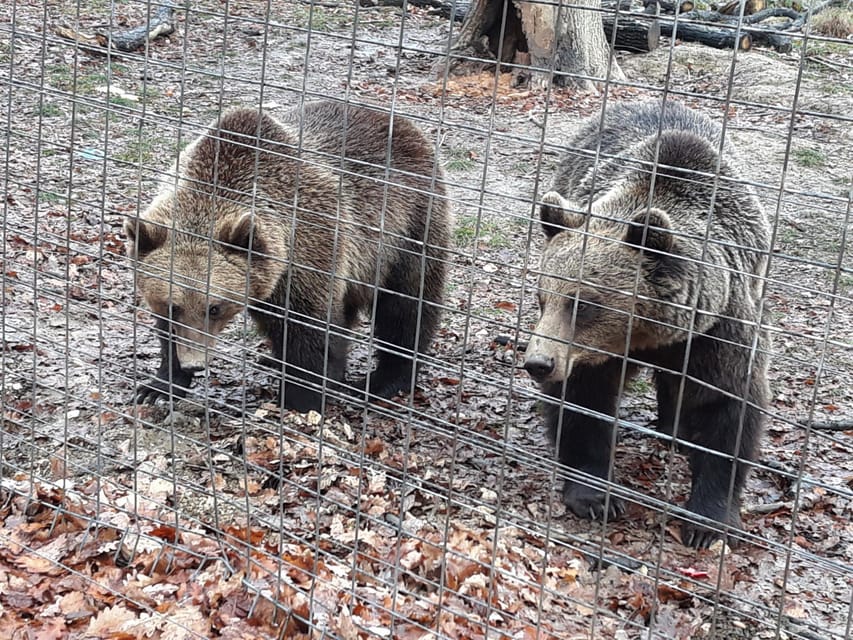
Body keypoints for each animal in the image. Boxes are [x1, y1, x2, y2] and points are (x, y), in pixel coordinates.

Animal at [125, 100, 452, 410]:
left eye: (215, 307)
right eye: (173, 306)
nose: (194, 363)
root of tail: (405, 125)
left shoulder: (309, 250)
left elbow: (309, 331)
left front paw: (298, 399)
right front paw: (158, 387)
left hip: (407, 228)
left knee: (405, 307)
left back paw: (382, 381)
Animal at [524, 100, 772, 544]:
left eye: (582, 304)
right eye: (542, 299)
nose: (539, 363)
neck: (647, 333)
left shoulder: (718, 327)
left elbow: (725, 404)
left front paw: (708, 521)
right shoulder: (588, 354)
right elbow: (584, 402)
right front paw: (595, 497)